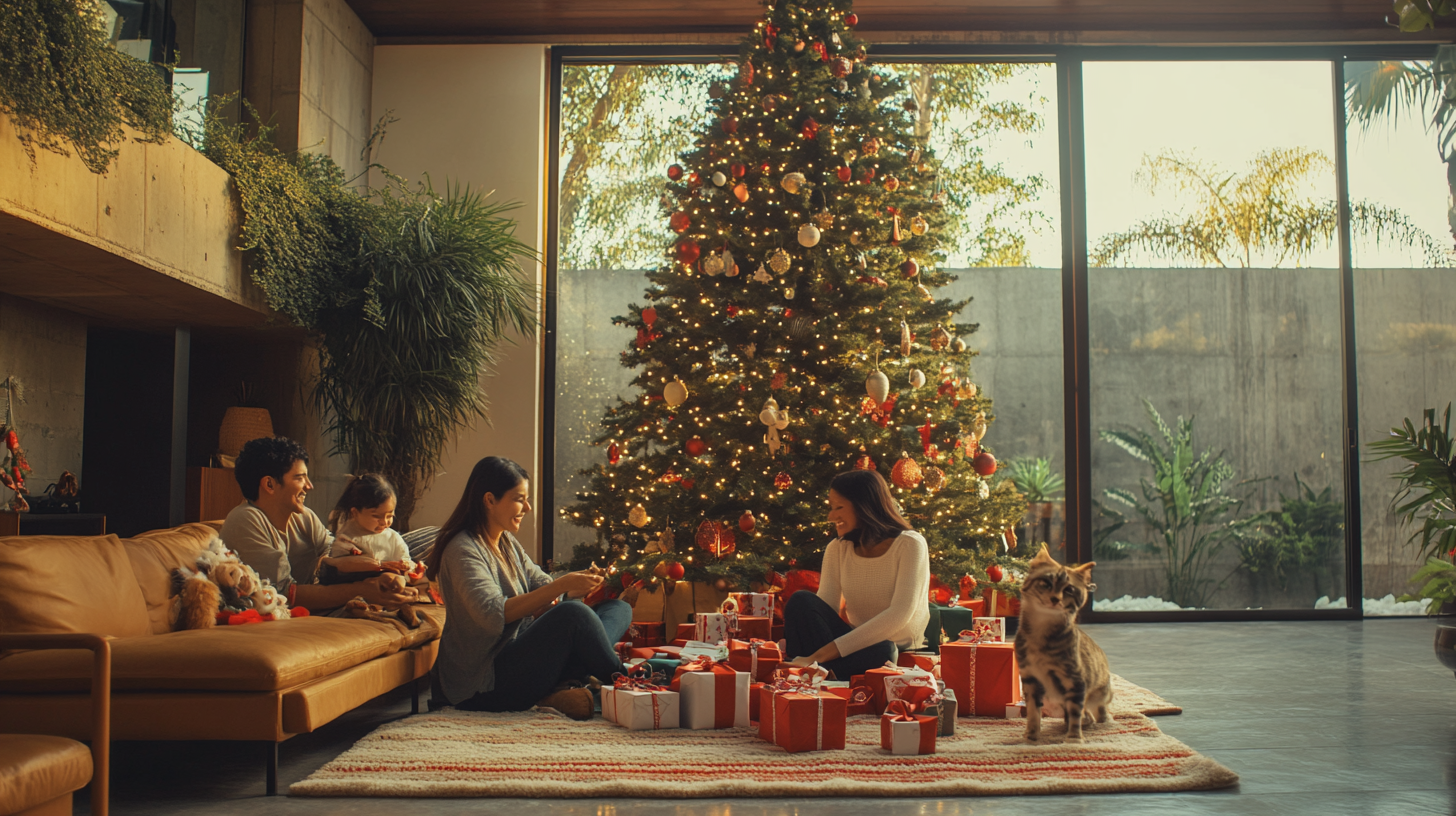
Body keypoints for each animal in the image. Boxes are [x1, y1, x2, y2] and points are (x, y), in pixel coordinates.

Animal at [1019, 544, 1106, 743]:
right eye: (1046, 583)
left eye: (1069, 590)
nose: (1055, 599)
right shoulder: (1029, 678)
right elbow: (1033, 712)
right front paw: (1031, 736)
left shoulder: (1075, 679)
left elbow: (1075, 712)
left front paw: (1074, 738)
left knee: (1095, 712)